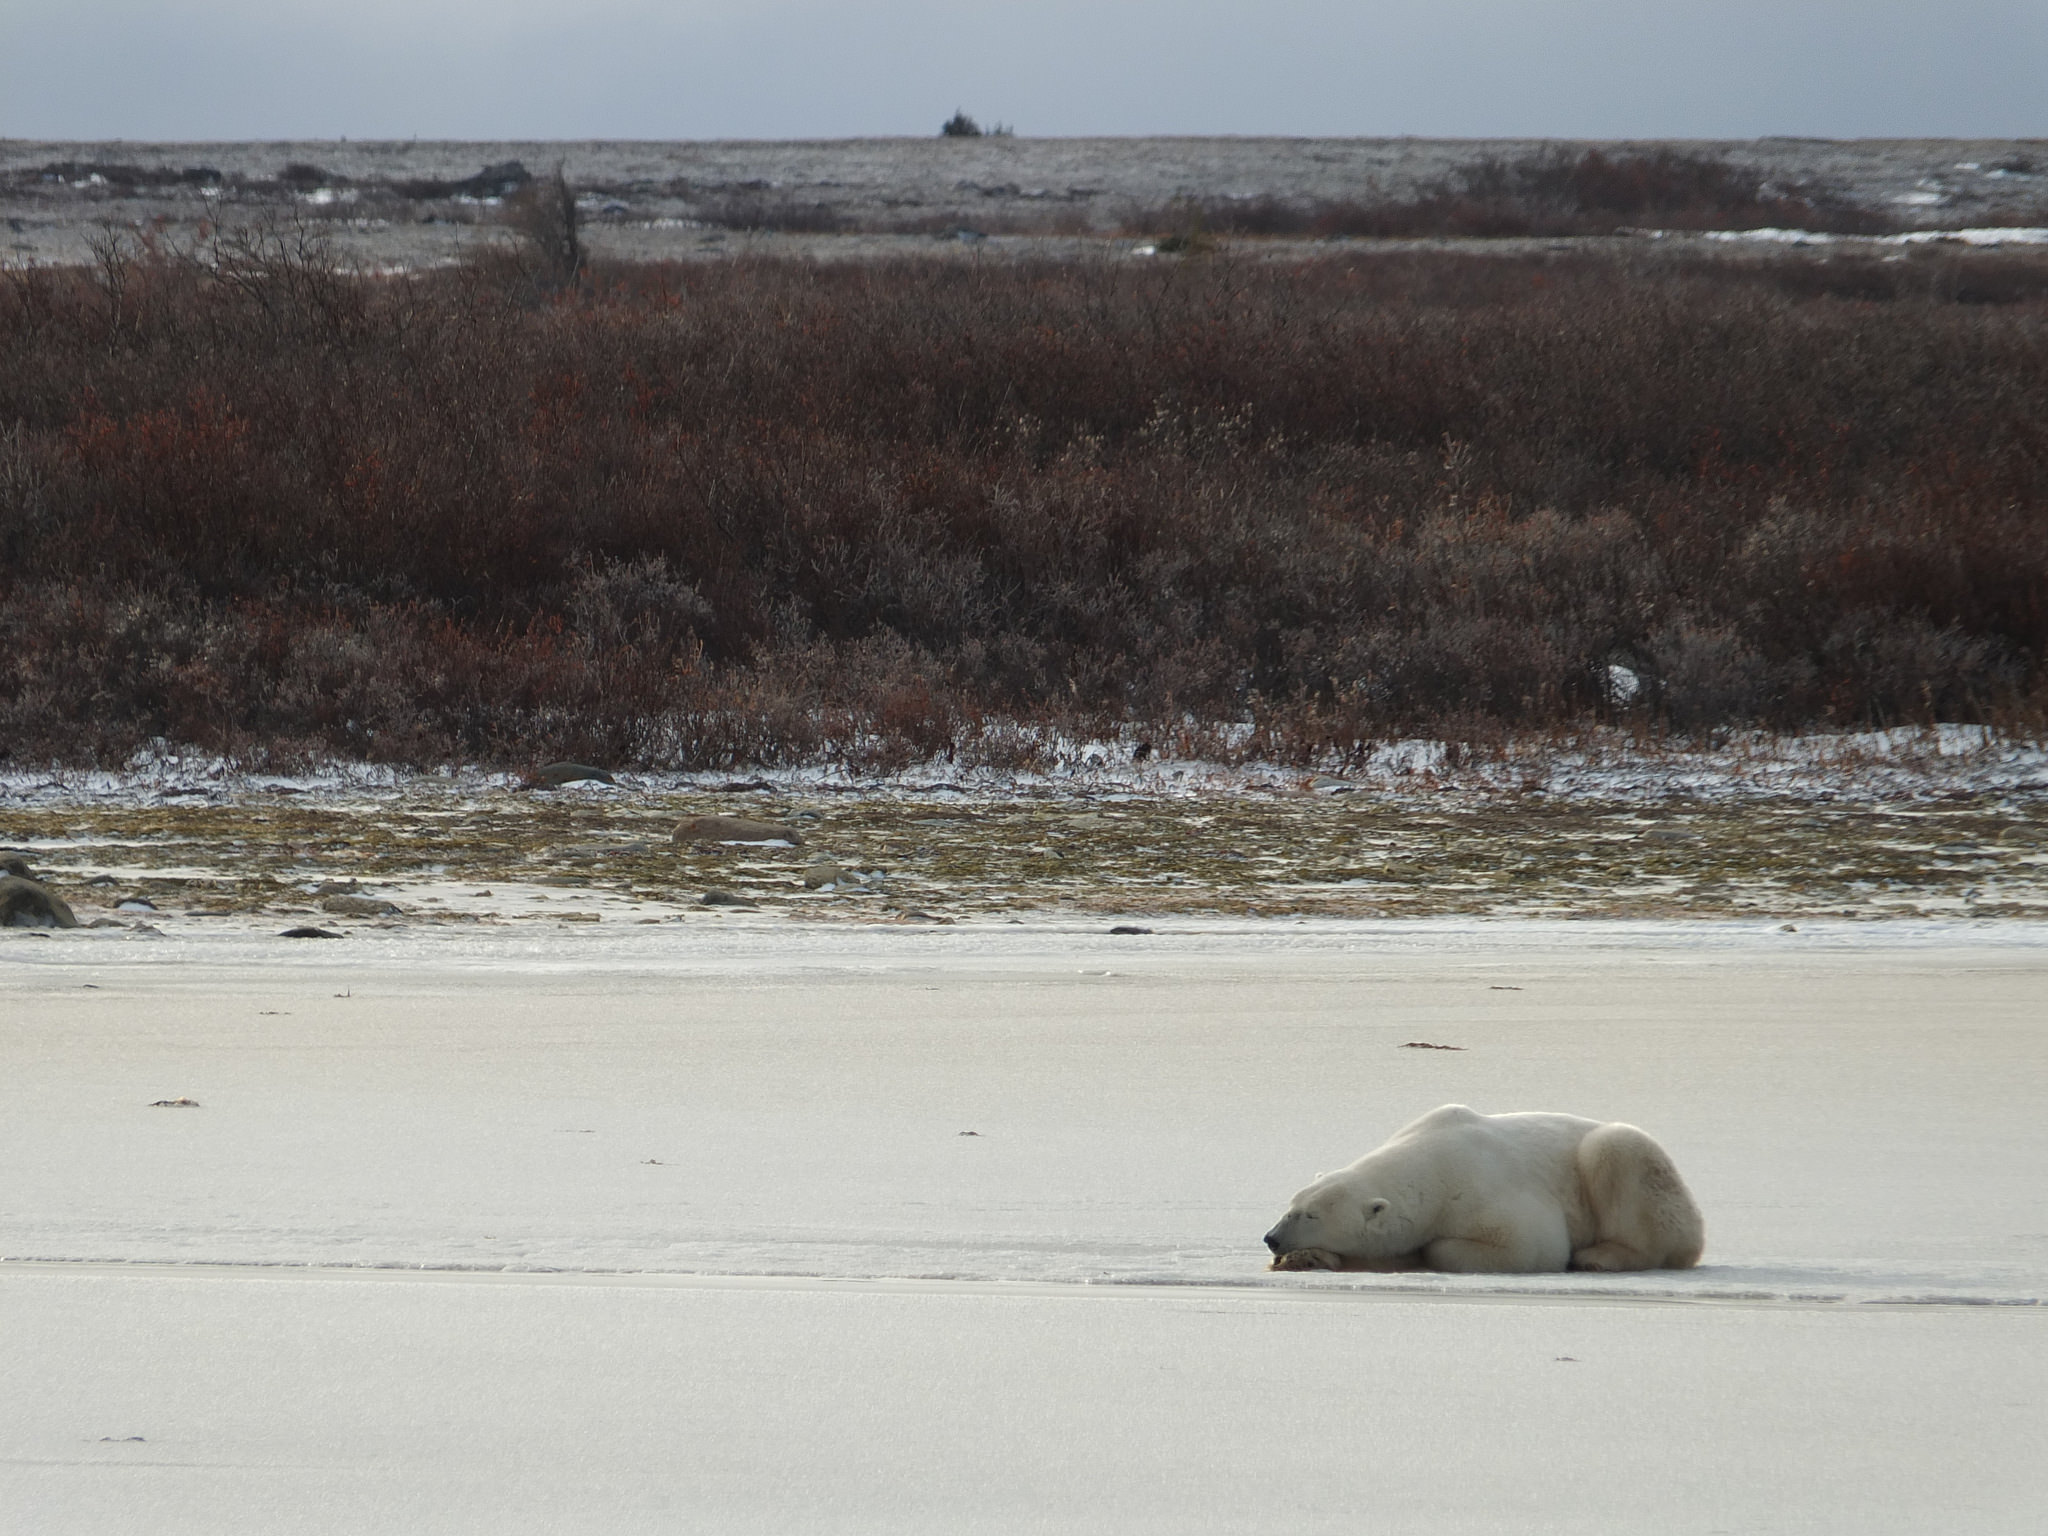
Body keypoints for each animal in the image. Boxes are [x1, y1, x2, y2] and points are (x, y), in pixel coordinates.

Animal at [1262, 1104, 1704, 1274]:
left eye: (1311, 1215)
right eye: (1291, 1206)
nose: (1271, 1238)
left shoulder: (1481, 1189)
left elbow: (1527, 1245)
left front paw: (1429, 1251)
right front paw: (1309, 1259)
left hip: (1633, 1168)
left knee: (1618, 1153)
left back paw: (1597, 1257)